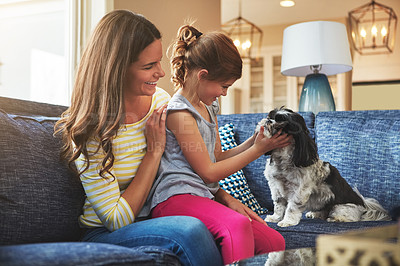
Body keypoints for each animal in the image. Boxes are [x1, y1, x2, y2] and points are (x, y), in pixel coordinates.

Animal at [256, 107, 390, 228]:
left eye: (281, 122)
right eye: (270, 116)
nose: (268, 120)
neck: (282, 160)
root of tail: (364, 205)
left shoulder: (299, 190)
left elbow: (292, 207)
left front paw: (287, 221)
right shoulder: (275, 186)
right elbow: (278, 205)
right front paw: (275, 218)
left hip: (340, 207)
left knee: (347, 217)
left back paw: (335, 218)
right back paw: (315, 214)